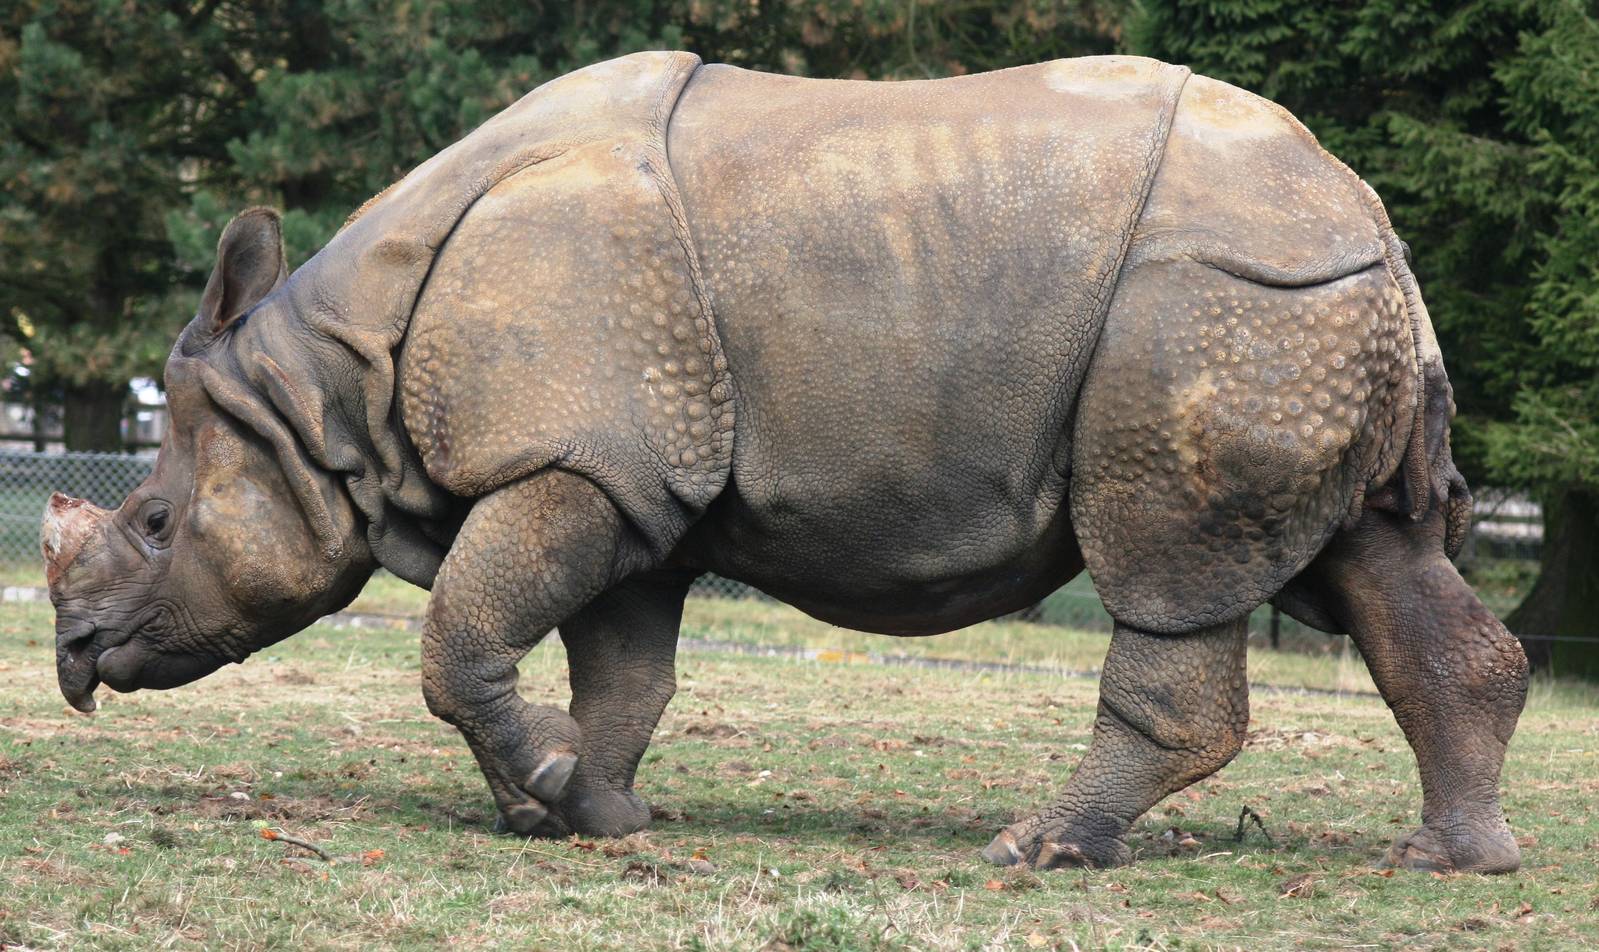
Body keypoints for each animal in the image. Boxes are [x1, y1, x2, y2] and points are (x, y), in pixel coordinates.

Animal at [42, 52, 1528, 873]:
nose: (72, 657)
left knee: (1168, 570)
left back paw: (1036, 850)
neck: (326, 388)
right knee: (1372, 560)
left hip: (1214, 302)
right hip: (1296, 304)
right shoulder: (634, 474)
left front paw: (546, 790)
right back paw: (1449, 863)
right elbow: (622, 671)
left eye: (158, 518)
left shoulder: (578, 452)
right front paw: (590, 808)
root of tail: (1365, 213)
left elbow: (461, 635)